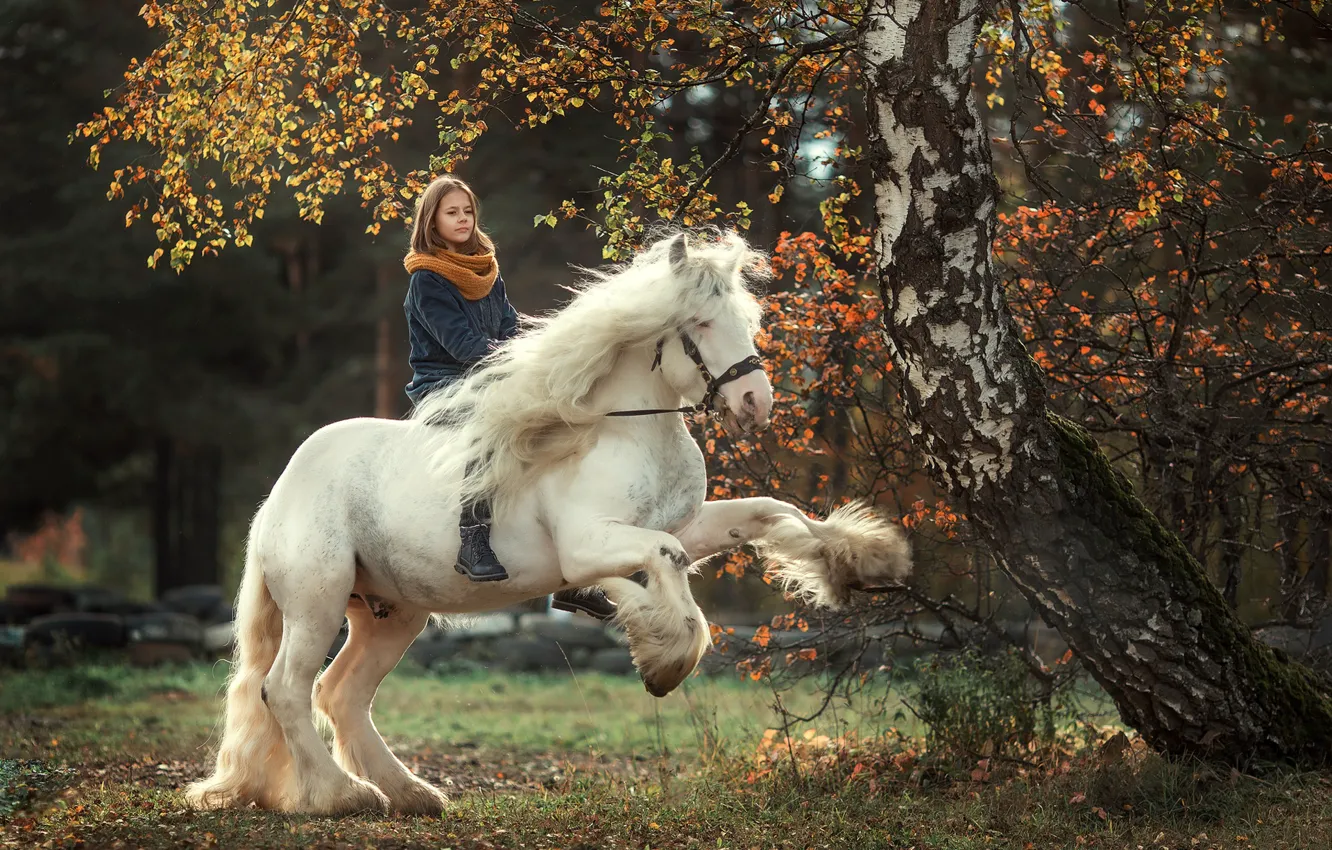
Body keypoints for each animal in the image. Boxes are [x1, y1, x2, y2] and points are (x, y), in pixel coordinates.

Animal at [183, 230, 912, 816]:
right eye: (701, 324)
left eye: (746, 317)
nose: (757, 402)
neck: (624, 429)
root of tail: (279, 496)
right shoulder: (590, 545)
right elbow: (664, 561)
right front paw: (663, 657)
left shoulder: (693, 525)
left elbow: (771, 515)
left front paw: (868, 561)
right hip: (319, 599)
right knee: (285, 690)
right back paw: (340, 797)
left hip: (391, 611)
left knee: (341, 695)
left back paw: (411, 794)